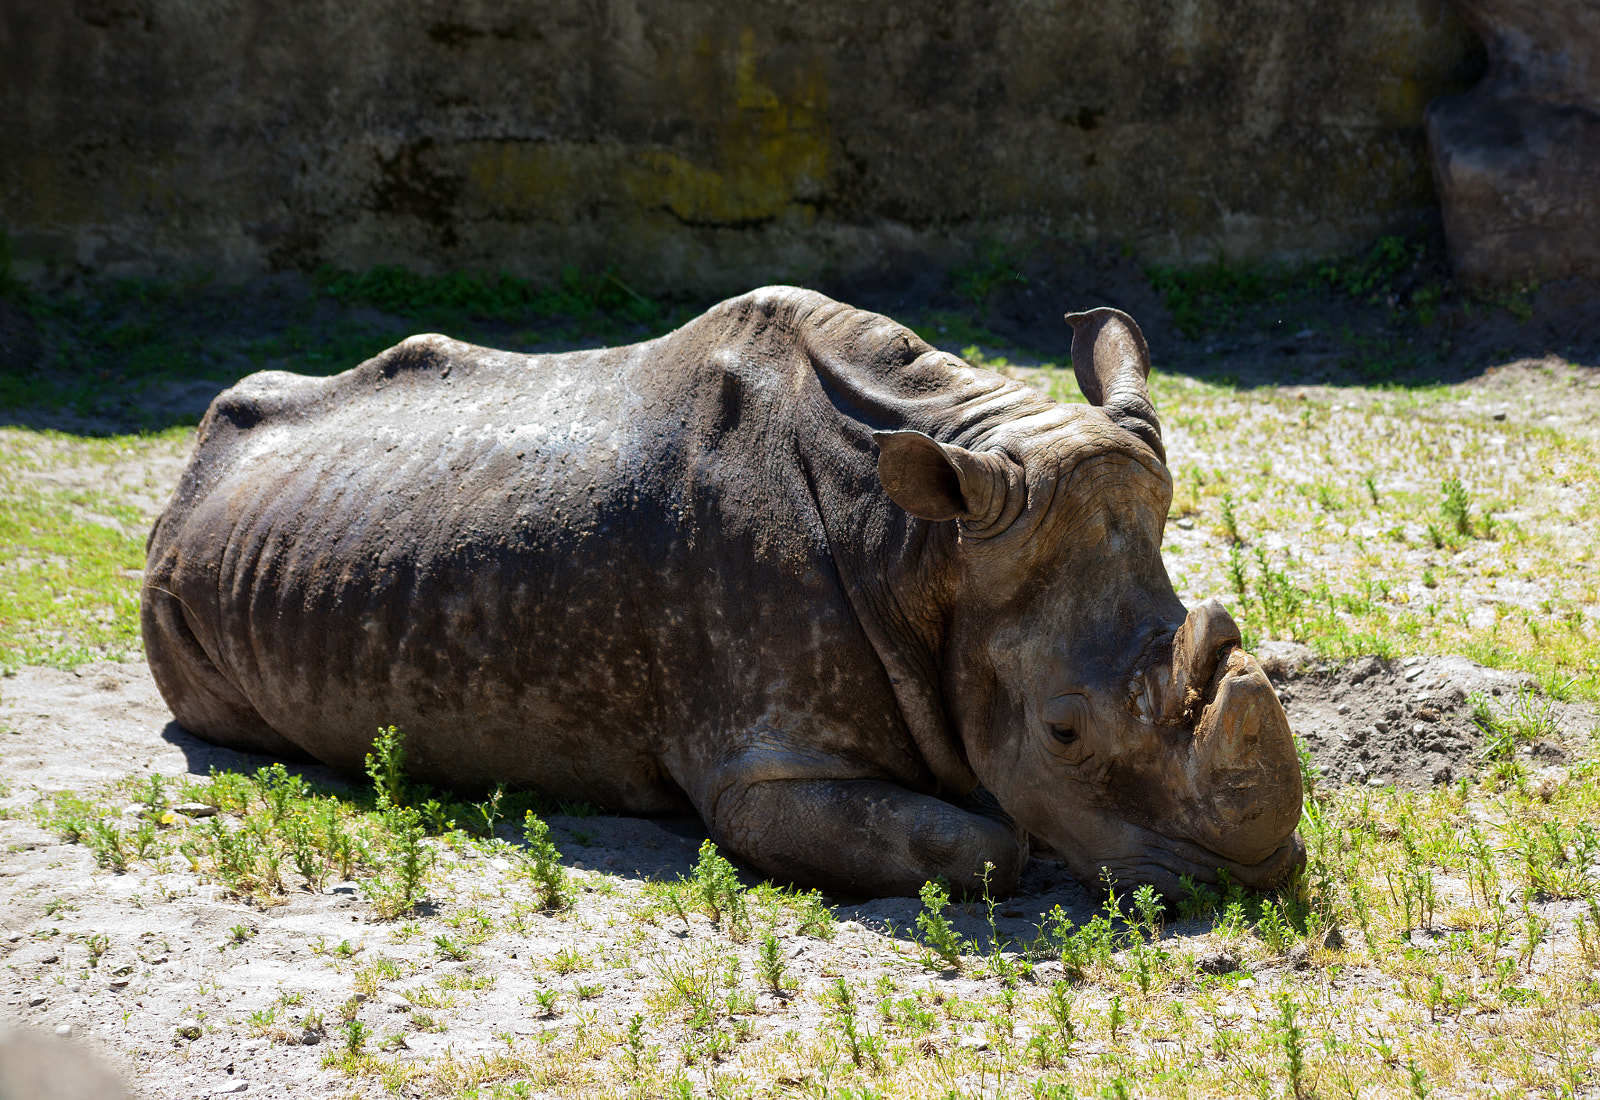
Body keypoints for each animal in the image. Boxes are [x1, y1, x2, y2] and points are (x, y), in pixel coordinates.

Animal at [142, 286, 1303, 898]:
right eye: (1062, 733)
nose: (1253, 870)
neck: (924, 548)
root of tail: (182, 481)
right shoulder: (765, 765)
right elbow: (987, 844)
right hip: (171, 597)